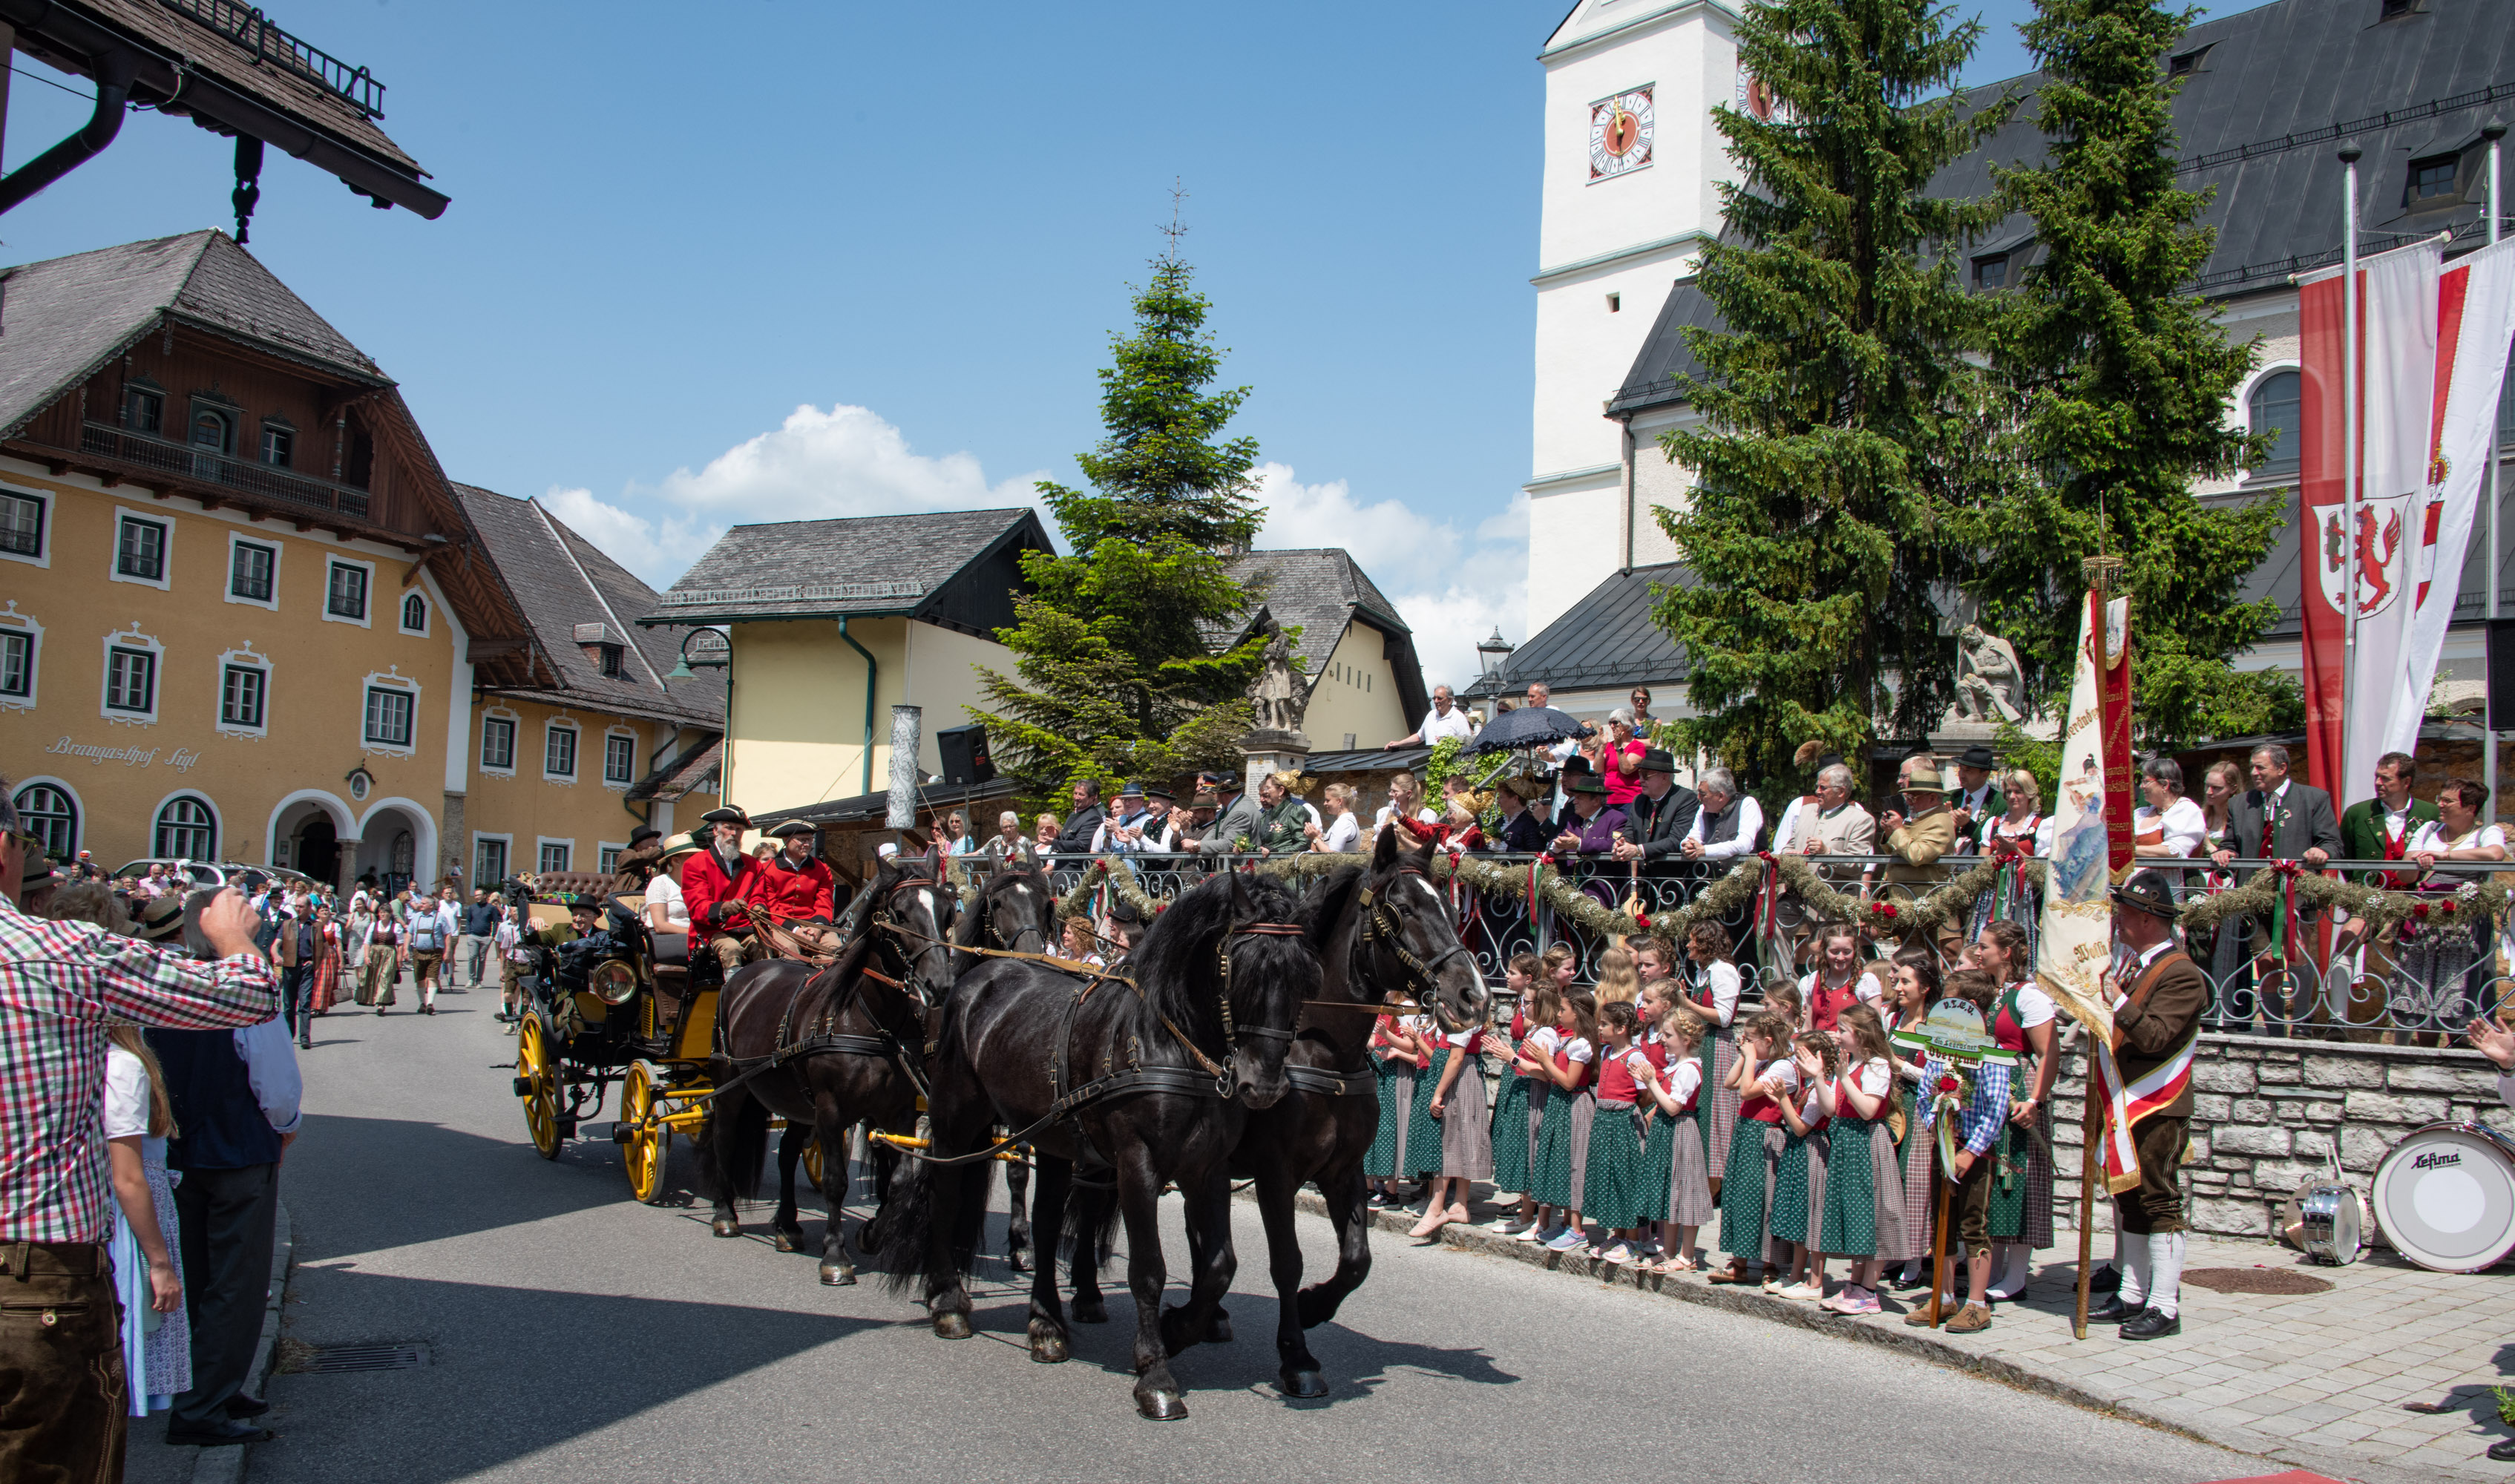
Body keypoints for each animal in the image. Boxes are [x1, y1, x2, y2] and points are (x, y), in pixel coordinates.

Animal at [704, 855, 955, 1287]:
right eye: (900, 914)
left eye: (946, 912)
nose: (939, 984)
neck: (871, 1020)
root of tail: (745, 976)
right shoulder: (832, 1110)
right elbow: (837, 1181)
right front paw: (835, 1256)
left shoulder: (899, 1111)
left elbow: (900, 1179)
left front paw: (872, 1233)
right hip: (733, 1086)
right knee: (724, 1138)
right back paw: (724, 1214)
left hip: (797, 1102)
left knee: (788, 1154)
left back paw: (788, 1227)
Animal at [885, 880, 1317, 1428]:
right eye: (1240, 966)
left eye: (1302, 974)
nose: (1264, 1086)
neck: (1169, 1043)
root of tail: (977, 976)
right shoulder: (1138, 1168)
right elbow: (1148, 1270)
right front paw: (1155, 1374)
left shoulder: (1207, 1170)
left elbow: (1220, 1265)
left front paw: (1179, 1330)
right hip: (954, 1121)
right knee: (945, 1196)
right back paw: (947, 1301)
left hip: (1051, 1139)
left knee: (1047, 1224)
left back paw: (1046, 1323)